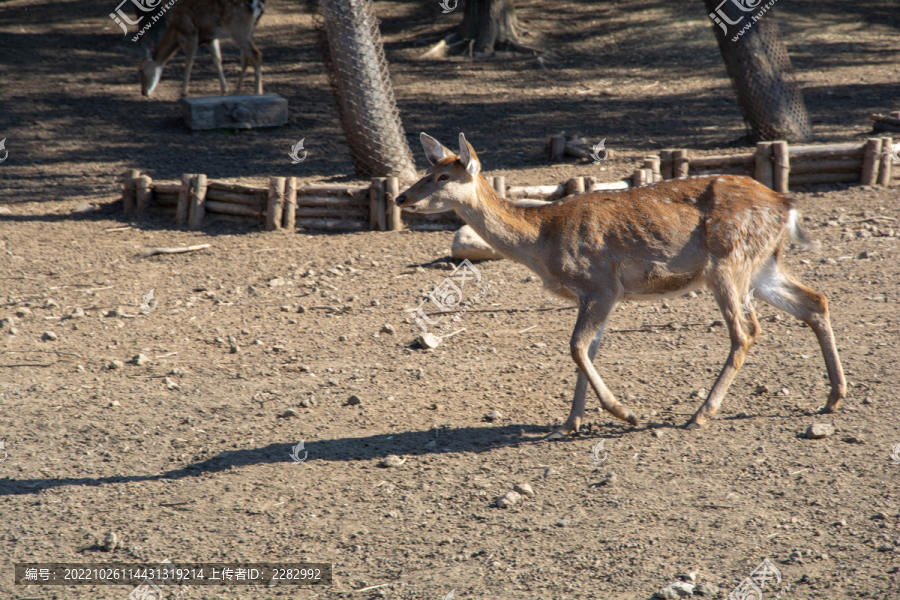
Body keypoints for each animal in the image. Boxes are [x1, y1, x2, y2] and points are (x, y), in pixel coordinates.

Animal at [398, 134, 848, 438]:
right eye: (425, 171)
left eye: (441, 175)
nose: (402, 198)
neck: (542, 240)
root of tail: (786, 204)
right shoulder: (597, 295)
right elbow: (587, 350)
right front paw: (569, 424)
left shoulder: (600, 284)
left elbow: (576, 347)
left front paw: (624, 412)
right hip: (762, 265)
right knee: (815, 301)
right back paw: (832, 397)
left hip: (727, 262)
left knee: (747, 330)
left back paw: (700, 413)